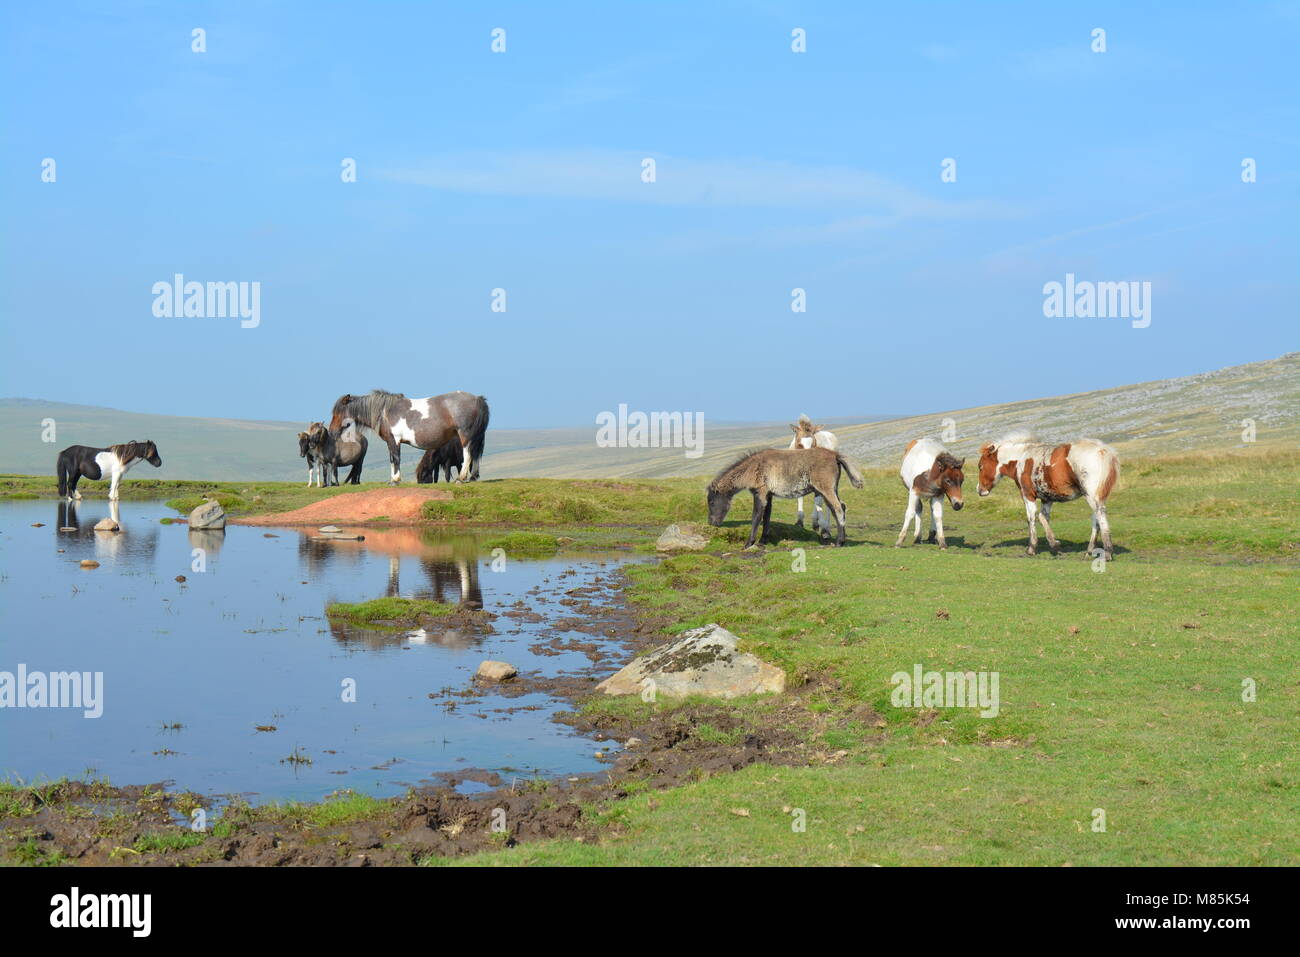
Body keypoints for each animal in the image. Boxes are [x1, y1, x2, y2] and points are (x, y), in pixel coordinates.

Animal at [330, 390, 489, 485]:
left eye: (338, 412)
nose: (331, 431)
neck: (385, 412)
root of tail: (478, 399)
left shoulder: (394, 440)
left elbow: (396, 459)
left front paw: (395, 480)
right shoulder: (391, 441)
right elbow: (392, 460)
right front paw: (392, 479)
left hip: (465, 436)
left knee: (468, 455)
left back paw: (461, 479)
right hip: (475, 437)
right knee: (475, 456)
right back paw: (473, 477)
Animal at [707, 447, 863, 547]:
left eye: (711, 502)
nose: (711, 523)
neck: (753, 467)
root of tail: (835, 455)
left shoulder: (760, 493)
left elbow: (756, 516)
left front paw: (748, 543)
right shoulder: (768, 495)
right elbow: (767, 516)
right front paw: (763, 541)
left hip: (825, 489)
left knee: (838, 508)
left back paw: (839, 542)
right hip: (830, 490)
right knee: (840, 507)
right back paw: (841, 539)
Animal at [976, 435, 1120, 560]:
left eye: (980, 466)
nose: (979, 490)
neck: (1021, 458)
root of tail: (1103, 450)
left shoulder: (1027, 495)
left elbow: (1031, 518)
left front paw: (1031, 548)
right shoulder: (1047, 499)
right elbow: (1043, 517)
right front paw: (1054, 544)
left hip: (1091, 496)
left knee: (1100, 516)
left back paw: (1108, 552)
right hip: (1098, 496)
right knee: (1096, 519)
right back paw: (1090, 551)